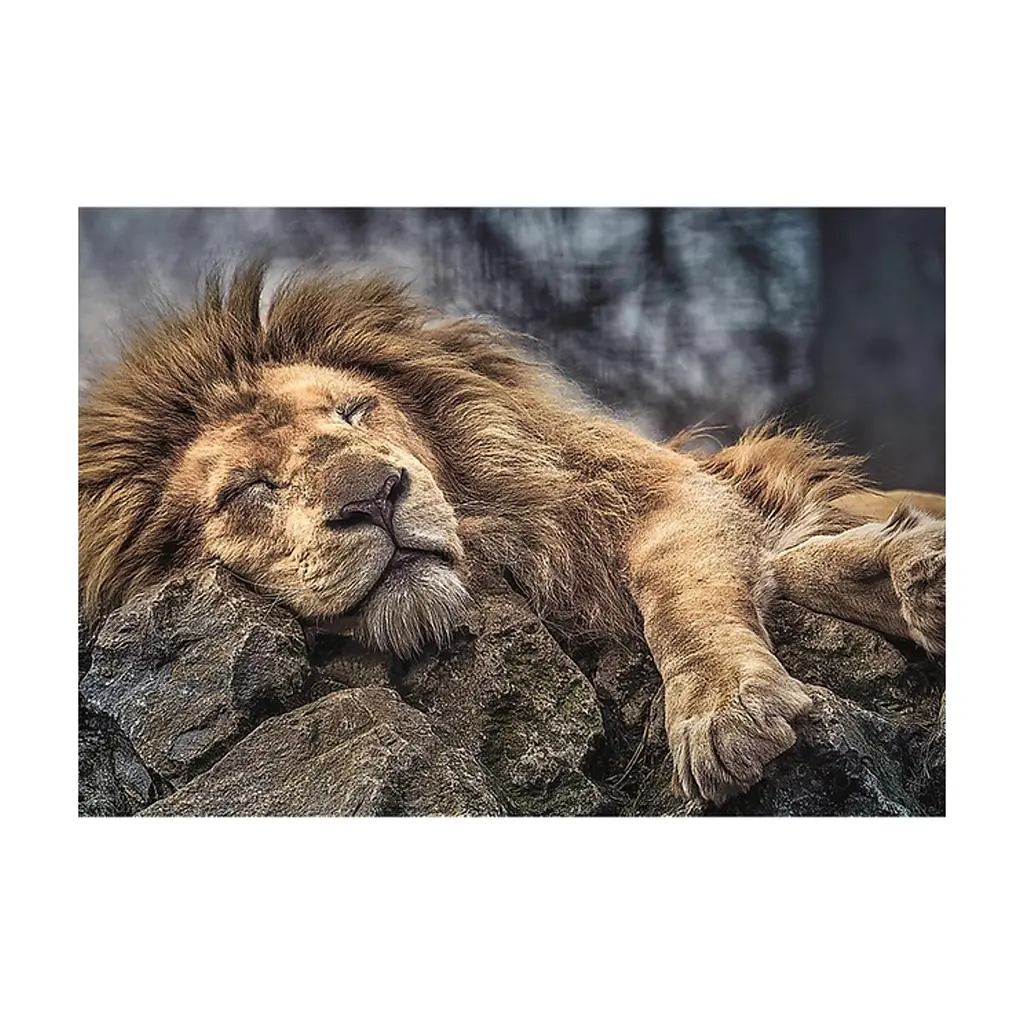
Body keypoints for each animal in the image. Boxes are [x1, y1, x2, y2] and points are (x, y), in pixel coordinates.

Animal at [78, 263, 945, 807]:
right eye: (249, 489)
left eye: (354, 411)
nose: (376, 497)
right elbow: (791, 562)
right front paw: (903, 570)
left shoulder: (664, 489)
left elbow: (683, 590)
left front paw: (723, 711)